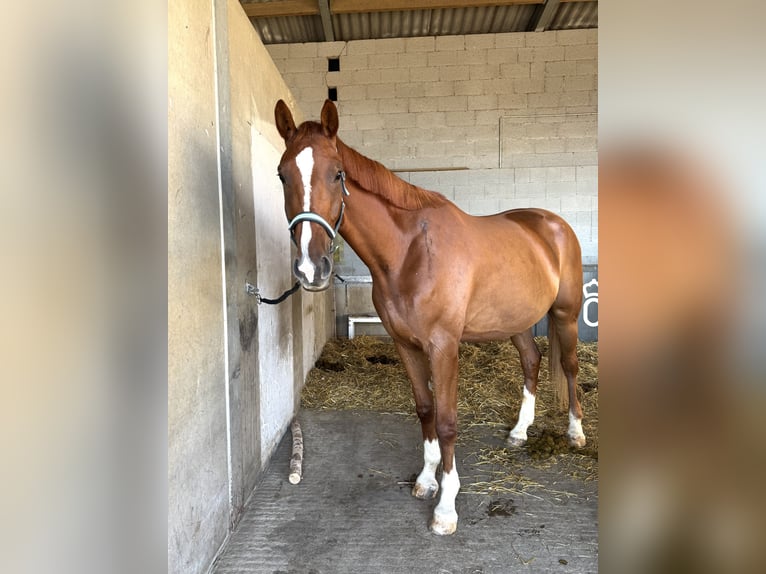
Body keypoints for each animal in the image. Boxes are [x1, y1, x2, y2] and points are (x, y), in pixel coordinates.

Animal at [274, 99, 586, 535]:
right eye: (282, 174)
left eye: (337, 174)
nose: (309, 268)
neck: (411, 252)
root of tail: (553, 224)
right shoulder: (405, 344)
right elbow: (425, 409)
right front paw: (426, 479)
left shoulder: (444, 347)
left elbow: (447, 420)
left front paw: (446, 508)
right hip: (516, 321)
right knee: (532, 360)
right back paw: (519, 432)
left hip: (566, 314)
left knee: (570, 367)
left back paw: (575, 432)